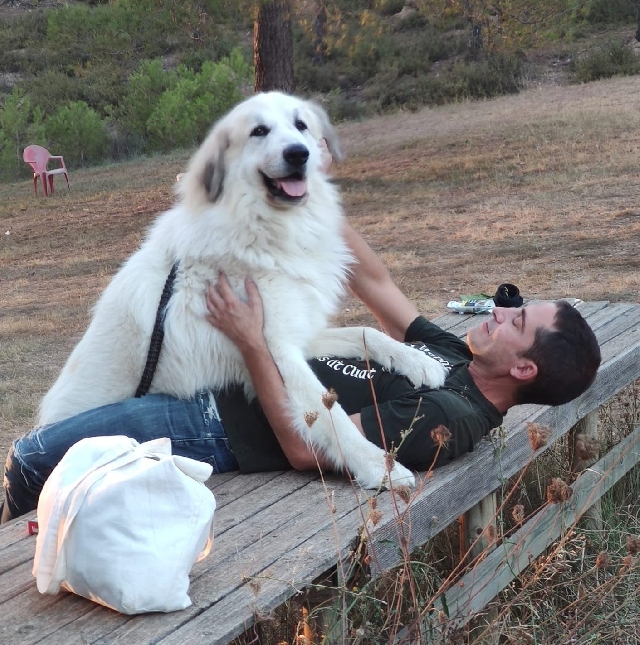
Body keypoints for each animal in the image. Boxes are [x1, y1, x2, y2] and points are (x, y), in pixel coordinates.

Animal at [40, 89, 448, 484]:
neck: (265, 230)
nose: (298, 153)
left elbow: (366, 333)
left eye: (300, 125)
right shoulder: (278, 351)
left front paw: (420, 361)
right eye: (259, 131)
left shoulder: (295, 336)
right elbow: (330, 413)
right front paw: (379, 467)